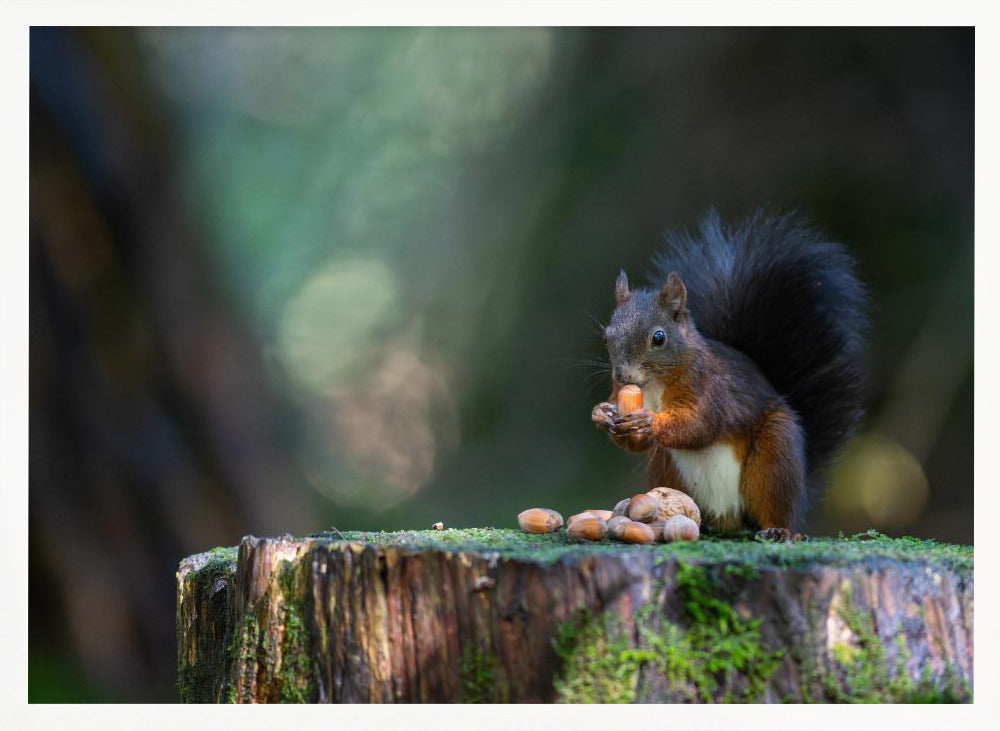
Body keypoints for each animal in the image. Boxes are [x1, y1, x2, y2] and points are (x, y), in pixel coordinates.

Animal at [592, 209, 868, 540]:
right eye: (606, 337)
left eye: (658, 338)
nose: (624, 376)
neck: (654, 385)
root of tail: (729, 519)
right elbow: (637, 444)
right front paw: (602, 414)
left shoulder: (708, 387)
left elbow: (701, 424)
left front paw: (649, 421)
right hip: (665, 467)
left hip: (775, 456)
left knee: (775, 504)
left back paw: (779, 530)